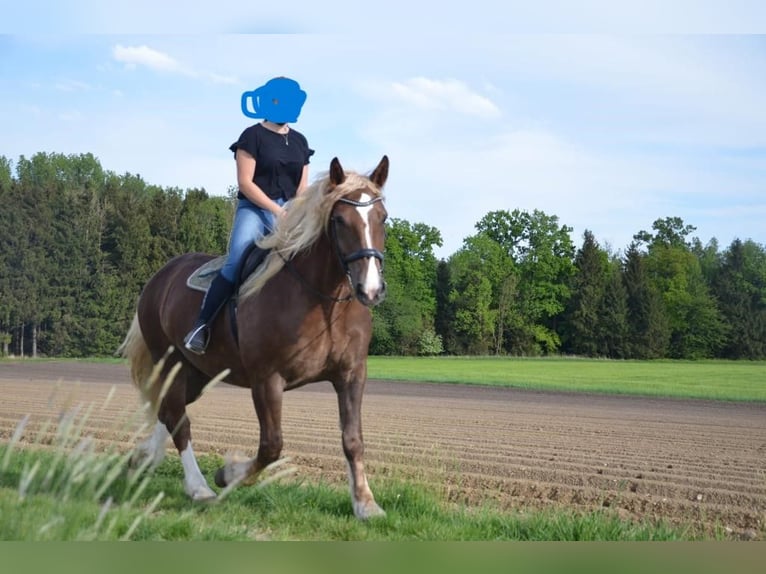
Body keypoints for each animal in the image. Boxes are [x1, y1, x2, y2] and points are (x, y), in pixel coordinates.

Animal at [118, 155, 390, 520]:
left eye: (382, 218)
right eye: (339, 220)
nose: (370, 290)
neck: (323, 304)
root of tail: (159, 278)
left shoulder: (351, 374)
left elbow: (353, 440)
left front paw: (365, 504)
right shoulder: (267, 380)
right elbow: (271, 446)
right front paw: (227, 474)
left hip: (197, 373)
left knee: (169, 411)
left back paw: (143, 458)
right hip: (171, 362)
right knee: (179, 419)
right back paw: (199, 487)